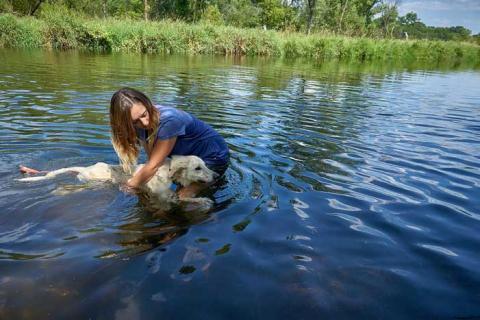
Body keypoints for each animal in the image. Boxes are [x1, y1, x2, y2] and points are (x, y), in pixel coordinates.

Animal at [17, 156, 218, 210]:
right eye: (198, 168)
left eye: (205, 165)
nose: (217, 176)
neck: (168, 173)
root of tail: (85, 168)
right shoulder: (162, 198)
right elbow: (183, 199)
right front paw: (203, 201)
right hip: (90, 183)